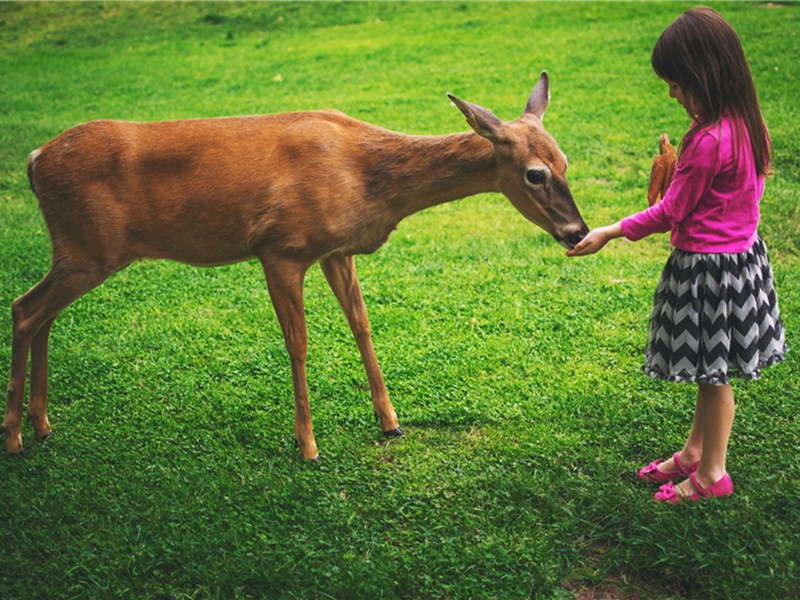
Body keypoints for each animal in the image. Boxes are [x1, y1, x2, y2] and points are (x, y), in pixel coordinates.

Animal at [4, 72, 588, 462]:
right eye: (535, 174)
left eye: (565, 161)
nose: (577, 232)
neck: (367, 179)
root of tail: (34, 161)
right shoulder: (280, 247)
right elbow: (298, 344)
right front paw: (306, 443)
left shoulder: (336, 250)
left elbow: (362, 327)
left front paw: (391, 422)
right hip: (90, 250)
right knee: (24, 309)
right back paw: (14, 436)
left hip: (77, 252)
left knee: (39, 313)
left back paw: (42, 423)